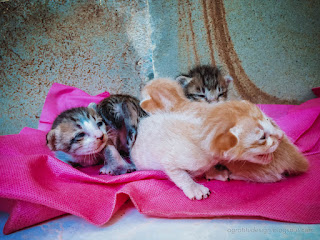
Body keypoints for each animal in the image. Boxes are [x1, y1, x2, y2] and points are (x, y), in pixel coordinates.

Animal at [131, 78, 286, 199]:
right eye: (262, 137)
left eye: (268, 120)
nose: (280, 136)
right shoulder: (169, 161)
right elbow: (181, 176)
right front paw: (194, 188)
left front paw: (213, 172)